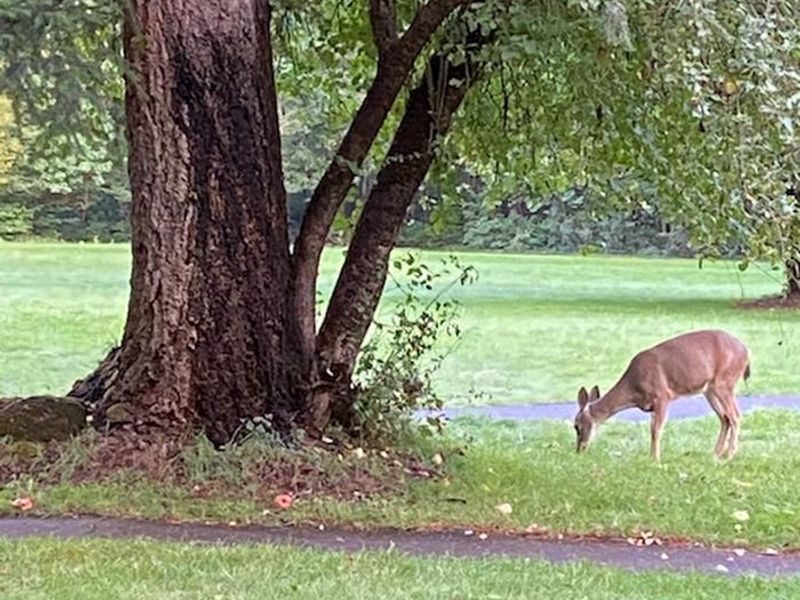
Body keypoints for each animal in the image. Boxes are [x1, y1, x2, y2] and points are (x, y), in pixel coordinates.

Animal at [574, 330, 750, 461]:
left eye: (576, 426)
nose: (579, 450)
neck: (634, 389)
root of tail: (746, 351)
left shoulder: (662, 396)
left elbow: (656, 429)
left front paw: (655, 459)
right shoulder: (652, 406)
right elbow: (653, 429)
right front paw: (652, 457)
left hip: (724, 382)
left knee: (735, 416)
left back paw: (729, 455)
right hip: (710, 390)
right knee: (725, 418)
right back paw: (715, 454)